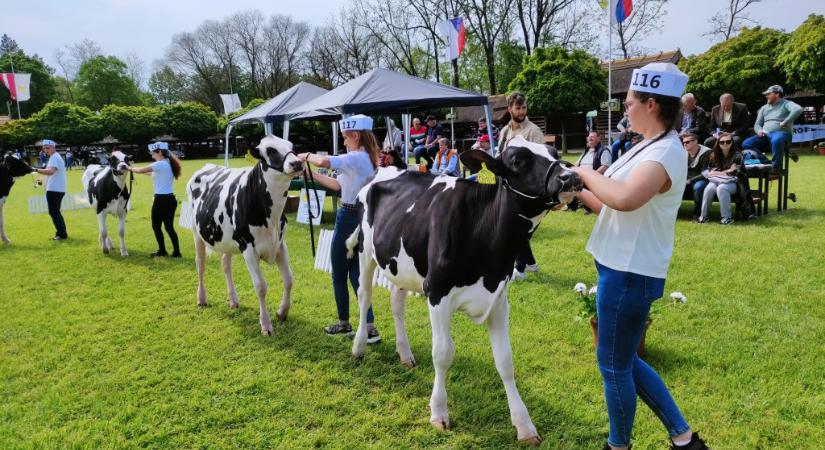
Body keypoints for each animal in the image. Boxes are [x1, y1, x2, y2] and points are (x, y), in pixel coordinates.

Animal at [187, 135, 302, 336]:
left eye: (291, 146)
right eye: (270, 150)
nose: (297, 162)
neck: (271, 217)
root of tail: (207, 165)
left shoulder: (280, 245)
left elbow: (289, 280)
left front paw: (282, 312)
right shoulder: (247, 246)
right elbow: (261, 286)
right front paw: (266, 325)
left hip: (226, 240)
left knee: (226, 265)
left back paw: (233, 300)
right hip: (197, 232)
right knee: (200, 264)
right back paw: (201, 298)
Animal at [348, 135, 580, 444]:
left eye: (553, 152)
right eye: (517, 159)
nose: (571, 176)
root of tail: (388, 168)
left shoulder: (499, 299)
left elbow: (505, 361)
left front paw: (524, 425)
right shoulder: (437, 292)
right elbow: (442, 353)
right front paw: (438, 412)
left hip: (400, 265)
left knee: (397, 305)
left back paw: (405, 354)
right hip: (365, 252)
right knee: (364, 297)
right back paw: (359, 346)